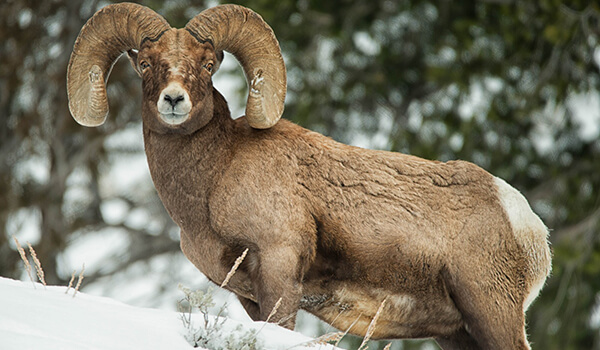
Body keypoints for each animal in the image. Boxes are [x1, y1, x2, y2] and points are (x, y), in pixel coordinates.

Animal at [67, 3, 552, 350]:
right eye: (145, 64)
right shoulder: (248, 295)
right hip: (457, 333)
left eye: (206, 64)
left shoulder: (280, 266)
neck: (215, 175)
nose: (173, 100)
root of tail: (528, 226)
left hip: (491, 313)